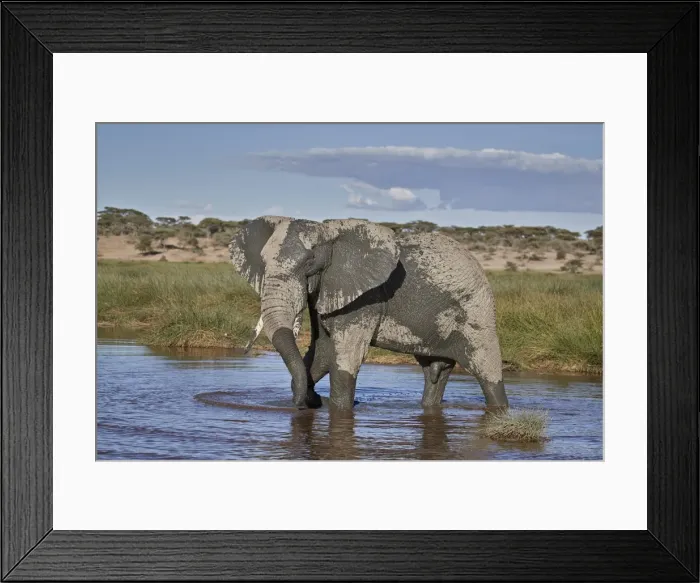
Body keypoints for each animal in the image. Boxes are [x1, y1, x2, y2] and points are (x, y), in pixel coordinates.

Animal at [228, 216, 509, 412]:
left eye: (308, 263)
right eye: (263, 264)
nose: (310, 401)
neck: (331, 235)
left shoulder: (366, 298)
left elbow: (346, 357)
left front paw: (337, 409)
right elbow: (322, 352)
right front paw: (312, 396)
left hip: (476, 309)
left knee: (487, 370)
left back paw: (500, 409)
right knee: (435, 372)